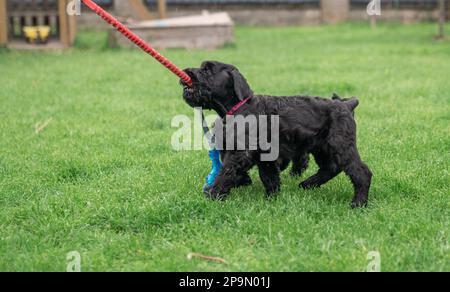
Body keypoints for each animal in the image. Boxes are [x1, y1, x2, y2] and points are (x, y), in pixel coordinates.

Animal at [182, 61, 372, 208]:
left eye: (207, 70)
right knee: (331, 168)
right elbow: (269, 177)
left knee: (361, 172)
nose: (186, 73)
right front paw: (270, 198)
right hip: (322, 148)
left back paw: (358, 203)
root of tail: (346, 105)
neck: (238, 107)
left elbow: (226, 171)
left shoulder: (241, 152)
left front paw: (213, 194)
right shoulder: (264, 156)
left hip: (340, 145)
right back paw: (308, 184)